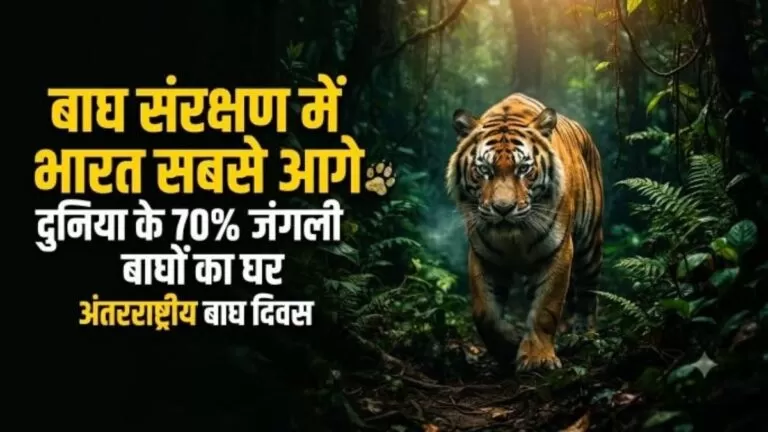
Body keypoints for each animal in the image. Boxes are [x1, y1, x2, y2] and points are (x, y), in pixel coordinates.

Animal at [445, 93, 604, 371]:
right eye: (484, 170)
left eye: (523, 169)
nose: (503, 208)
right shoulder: (483, 256)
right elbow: (484, 312)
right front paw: (508, 346)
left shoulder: (558, 251)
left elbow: (546, 308)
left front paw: (538, 358)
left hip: (589, 246)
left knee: (588, 293)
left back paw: (584, 336)